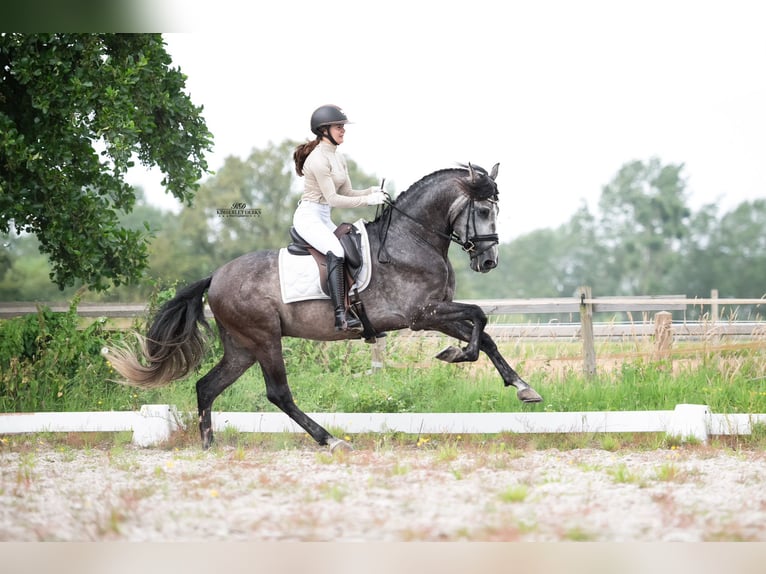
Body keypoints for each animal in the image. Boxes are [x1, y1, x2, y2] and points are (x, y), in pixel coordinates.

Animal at [108, 161, 544, 450]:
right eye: (484, 211)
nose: (488, 262)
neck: (413, 238)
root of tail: (215, 276)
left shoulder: (436, 311)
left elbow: (485, 336)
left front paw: (523, 388)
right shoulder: (421, 314)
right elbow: (479, 319)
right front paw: (456, 355)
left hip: (241, 348)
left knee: (206, 387)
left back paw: (210, 446)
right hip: (264, 339)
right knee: (278, 394)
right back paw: (330, 440)